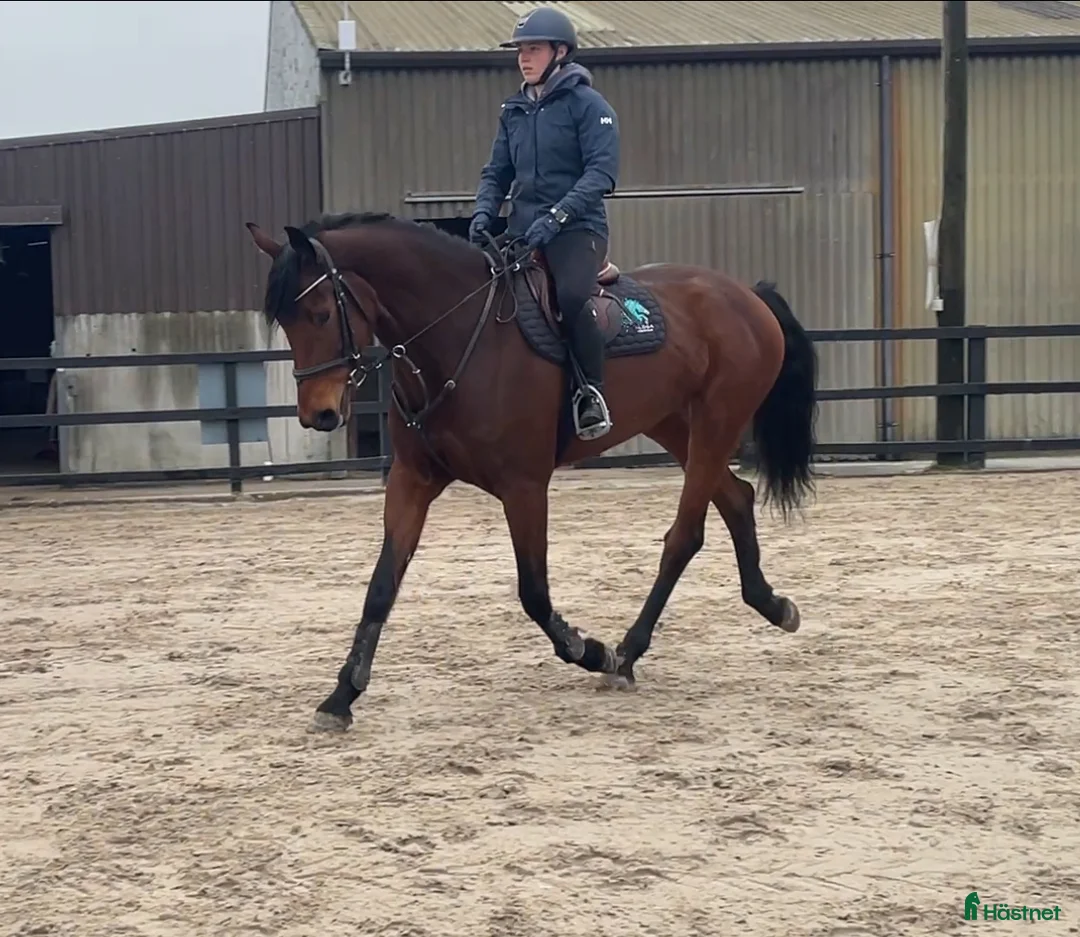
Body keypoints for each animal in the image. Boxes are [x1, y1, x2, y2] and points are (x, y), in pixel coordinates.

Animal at [244, 211, 819, 733]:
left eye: (321, 313)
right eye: (287, 322)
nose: (318, 415)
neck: (458, 337)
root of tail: (746, 294)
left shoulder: (523, 487)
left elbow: (534, 593)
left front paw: (590, 650)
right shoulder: (412, 480)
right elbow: (382, 585)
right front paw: (341, 696)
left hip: (717, 420)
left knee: (686, 535)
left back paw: (627, 655)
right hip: (677, 426)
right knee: (736, 498)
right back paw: (772, 605)